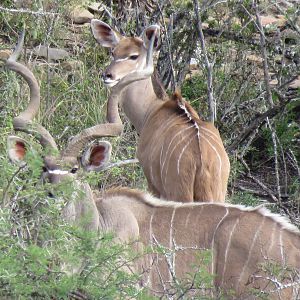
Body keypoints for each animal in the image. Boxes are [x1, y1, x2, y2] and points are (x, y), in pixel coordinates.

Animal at [90, 19, 231, 203]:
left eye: (134, 56)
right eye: (113, 52)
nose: (108, 75)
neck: (151, 110)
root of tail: (203, 162)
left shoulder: (153, 184)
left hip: (179, 193)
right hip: (217, 195)